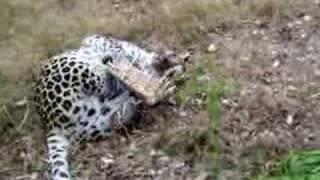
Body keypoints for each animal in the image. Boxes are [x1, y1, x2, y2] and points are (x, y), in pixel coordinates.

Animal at [33, 34, 178, 180]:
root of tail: (51, 123)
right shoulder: (99, 41)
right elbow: (120, 53)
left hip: (96, 125)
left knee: (117, 113)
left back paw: (132, 100)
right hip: (73, 67)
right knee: (103, 82)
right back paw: (109, 68)